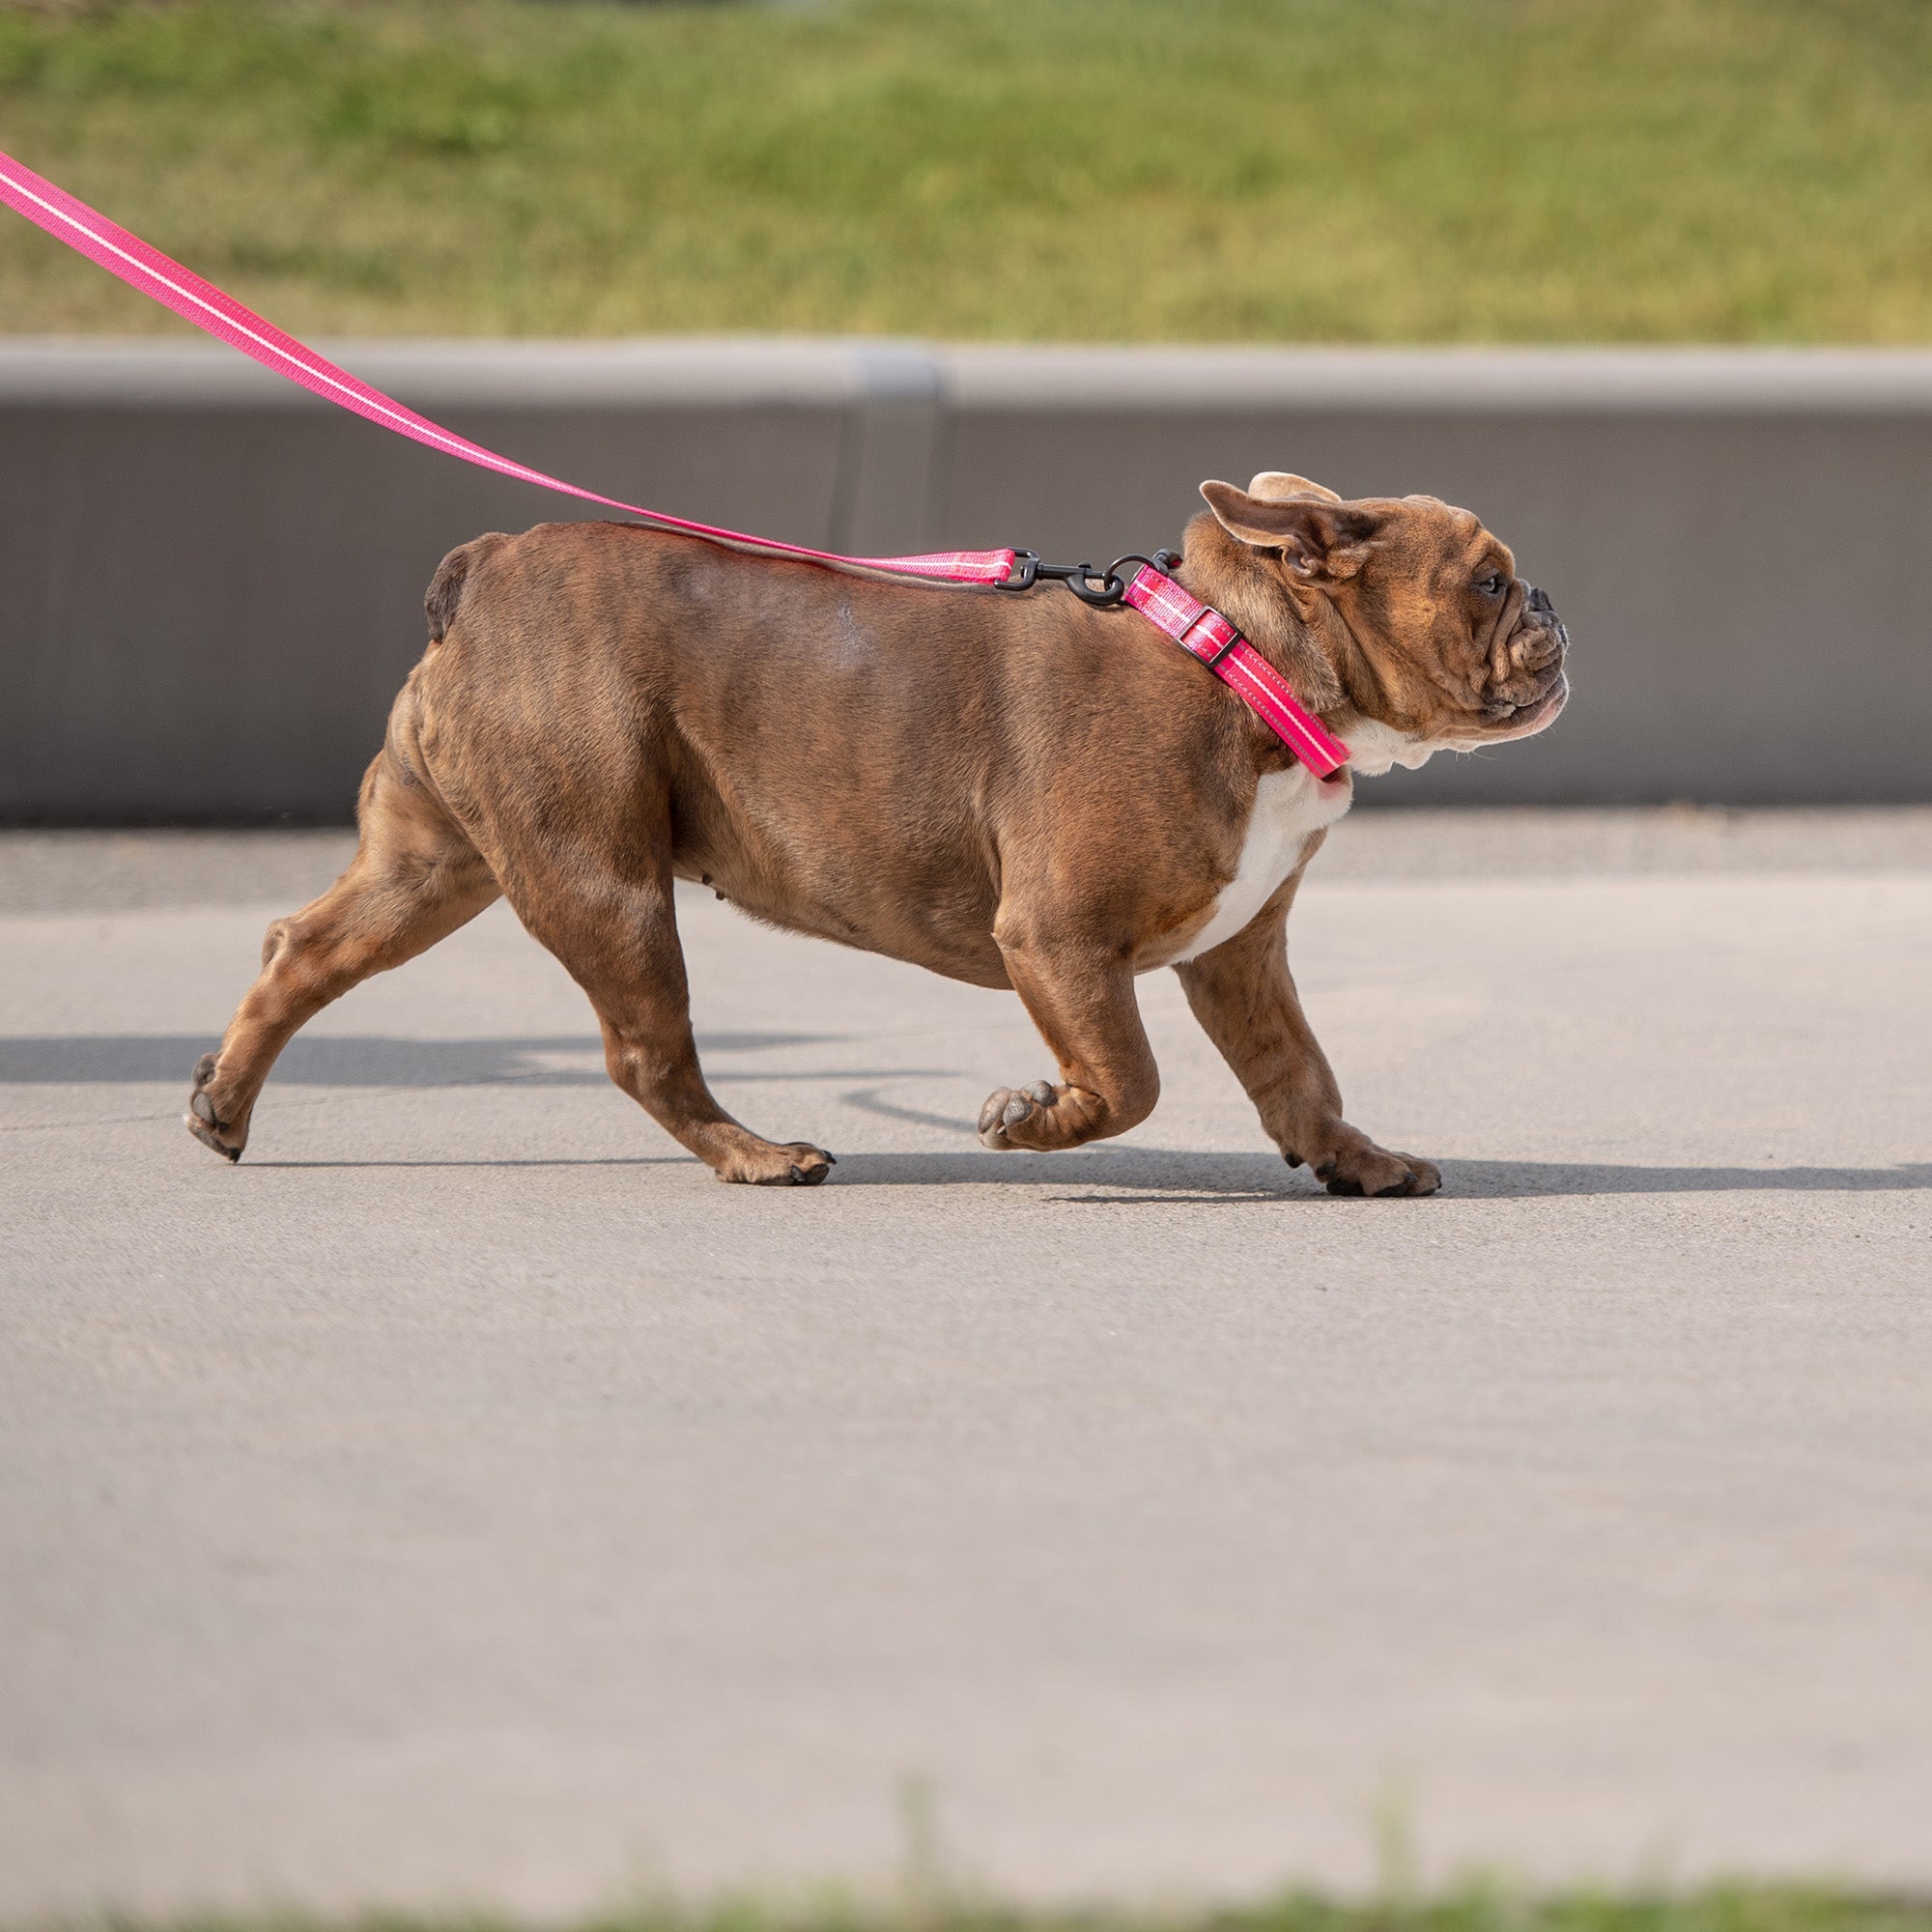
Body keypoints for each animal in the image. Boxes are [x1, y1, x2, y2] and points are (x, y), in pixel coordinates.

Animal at [185, 468, 1569, 1190]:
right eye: (1487, 579)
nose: (1551, 597)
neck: (1240, 660)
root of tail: (488, 565)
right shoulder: (1057, 938)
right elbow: (1127, 1078)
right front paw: (1028, 1117)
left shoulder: (1240, 954)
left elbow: (1296, 1069)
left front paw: (1353, 1157)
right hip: (603, 882)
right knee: (646, 1050)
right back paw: (753, 1154)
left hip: (438, 862)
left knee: (303, 950)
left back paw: (223, 1105)